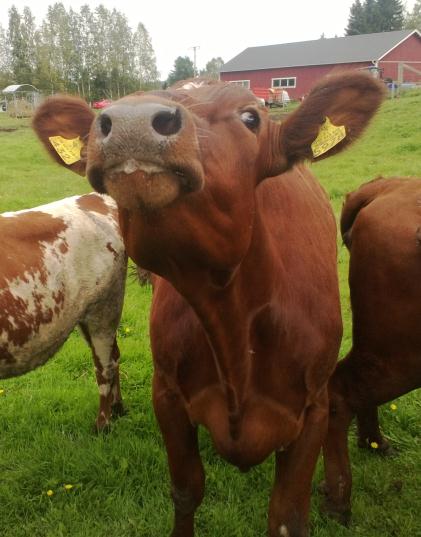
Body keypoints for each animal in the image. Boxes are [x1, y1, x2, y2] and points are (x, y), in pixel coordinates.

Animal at [0, 193, 127, 428]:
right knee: (114, 356)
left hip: (104, 309)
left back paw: (102, 424)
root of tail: (93, 197)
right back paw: (118, 409)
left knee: (104, 366)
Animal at [33, 72, 384, 536]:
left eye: (251, 117)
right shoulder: (166, 394)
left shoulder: (314, 408)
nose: (131, 122)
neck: (230, 321)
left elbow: (287, 517)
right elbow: (186, 491)